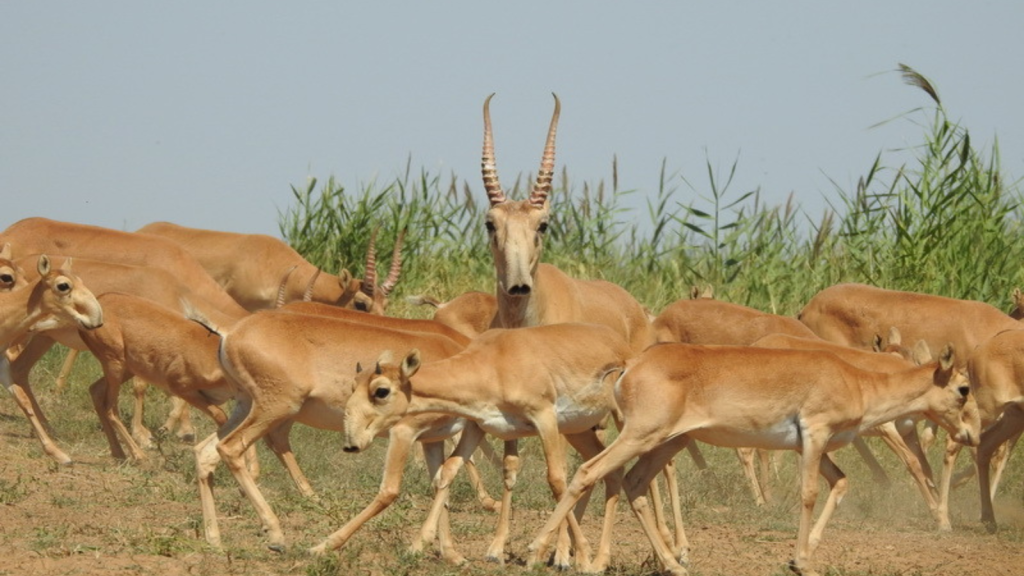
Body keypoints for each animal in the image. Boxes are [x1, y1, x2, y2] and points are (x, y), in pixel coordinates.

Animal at [0, 255, 103, 461]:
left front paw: (58, 453)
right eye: (63, 285)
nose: (97, 318)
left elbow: (23, 399)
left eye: (80, 280)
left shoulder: (1, 362)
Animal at [528, 340, 983, 573]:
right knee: (589, 472)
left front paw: (804, 554)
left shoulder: (813, 448)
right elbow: (808, 494)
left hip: (667, 442)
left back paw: (675, 564)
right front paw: (801, 561)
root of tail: (629, 364)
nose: (972, 435)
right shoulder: (814, 435)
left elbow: (840, 483)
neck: (857, 381)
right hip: (641, 436)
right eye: (963, 388)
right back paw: (537, 551)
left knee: (632, 483)